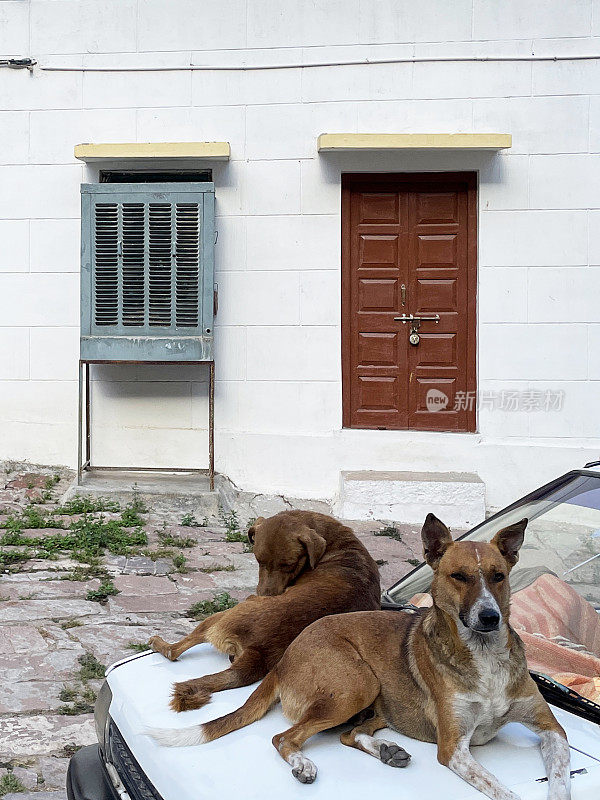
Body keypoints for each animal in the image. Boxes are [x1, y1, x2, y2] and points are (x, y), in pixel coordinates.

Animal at [148, 510, 380, 708]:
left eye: (289, 565)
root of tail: (259, 651)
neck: (335, 541)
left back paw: (159, 643)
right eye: (259, 561)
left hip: (220, 617)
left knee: (174, 651)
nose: (266, 595)